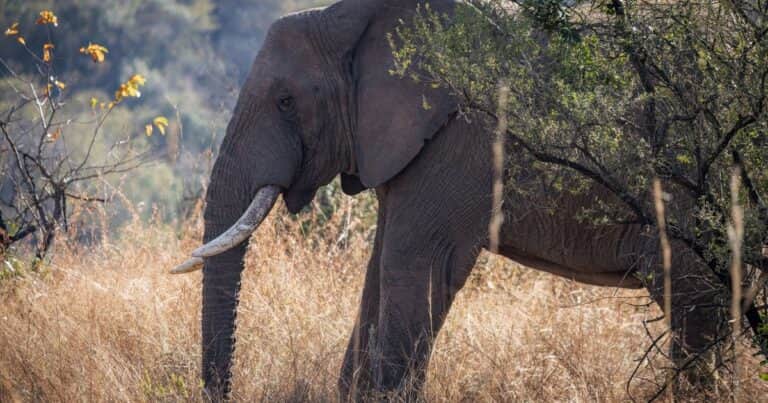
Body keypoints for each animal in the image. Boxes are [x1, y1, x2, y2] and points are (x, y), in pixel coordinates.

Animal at [171, 0, 725, 400]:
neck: (353, 17)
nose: (222, 392)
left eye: (287, 102)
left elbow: (414, 263)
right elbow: (380, 269)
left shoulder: (464, 135)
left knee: (696, 309)